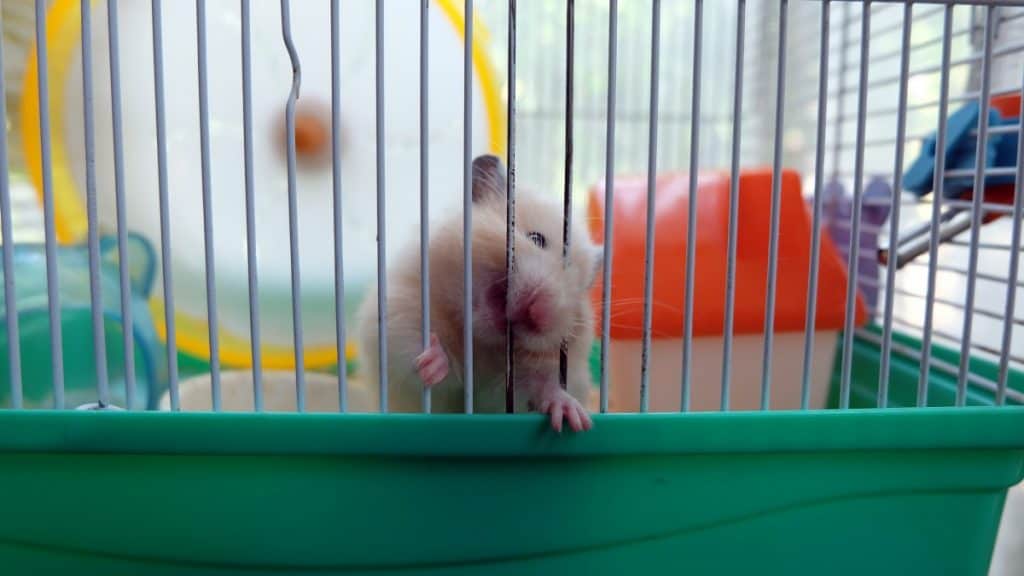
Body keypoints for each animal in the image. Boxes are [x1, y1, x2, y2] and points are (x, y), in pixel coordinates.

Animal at [358, 153, 602, 430]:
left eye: (578, 289)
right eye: (536, 238)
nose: (541, 313)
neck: (481, 342)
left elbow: (543, 386)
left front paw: (575, 418)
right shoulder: (397, 315)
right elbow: (420, 358)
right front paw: (432, 359)